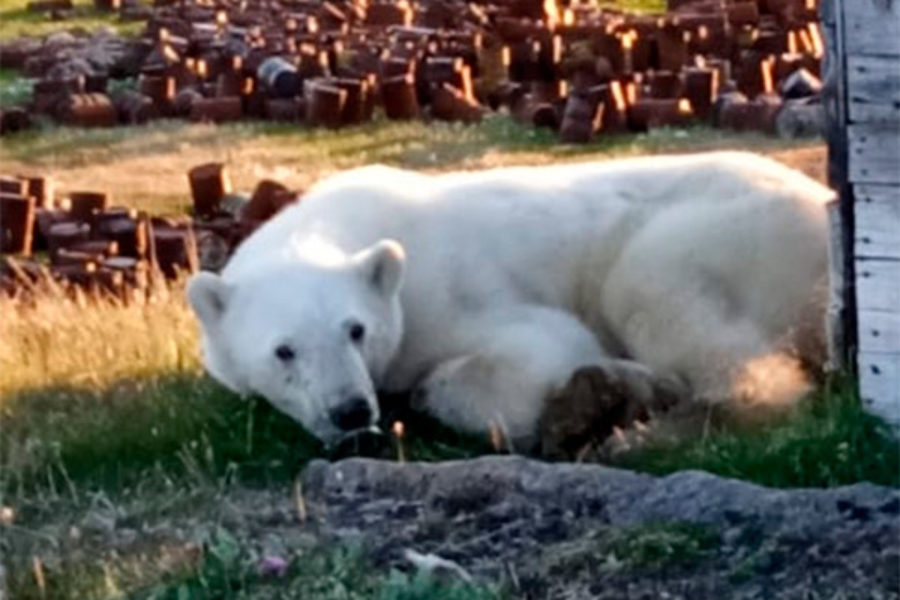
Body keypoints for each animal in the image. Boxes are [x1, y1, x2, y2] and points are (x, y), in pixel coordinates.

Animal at [186, 152, 832, 448]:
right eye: (284, 350)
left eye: (356, 329)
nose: (350, 410)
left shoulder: (448, 292)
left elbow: (540, 348)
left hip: (728, 230)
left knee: (654, 292)